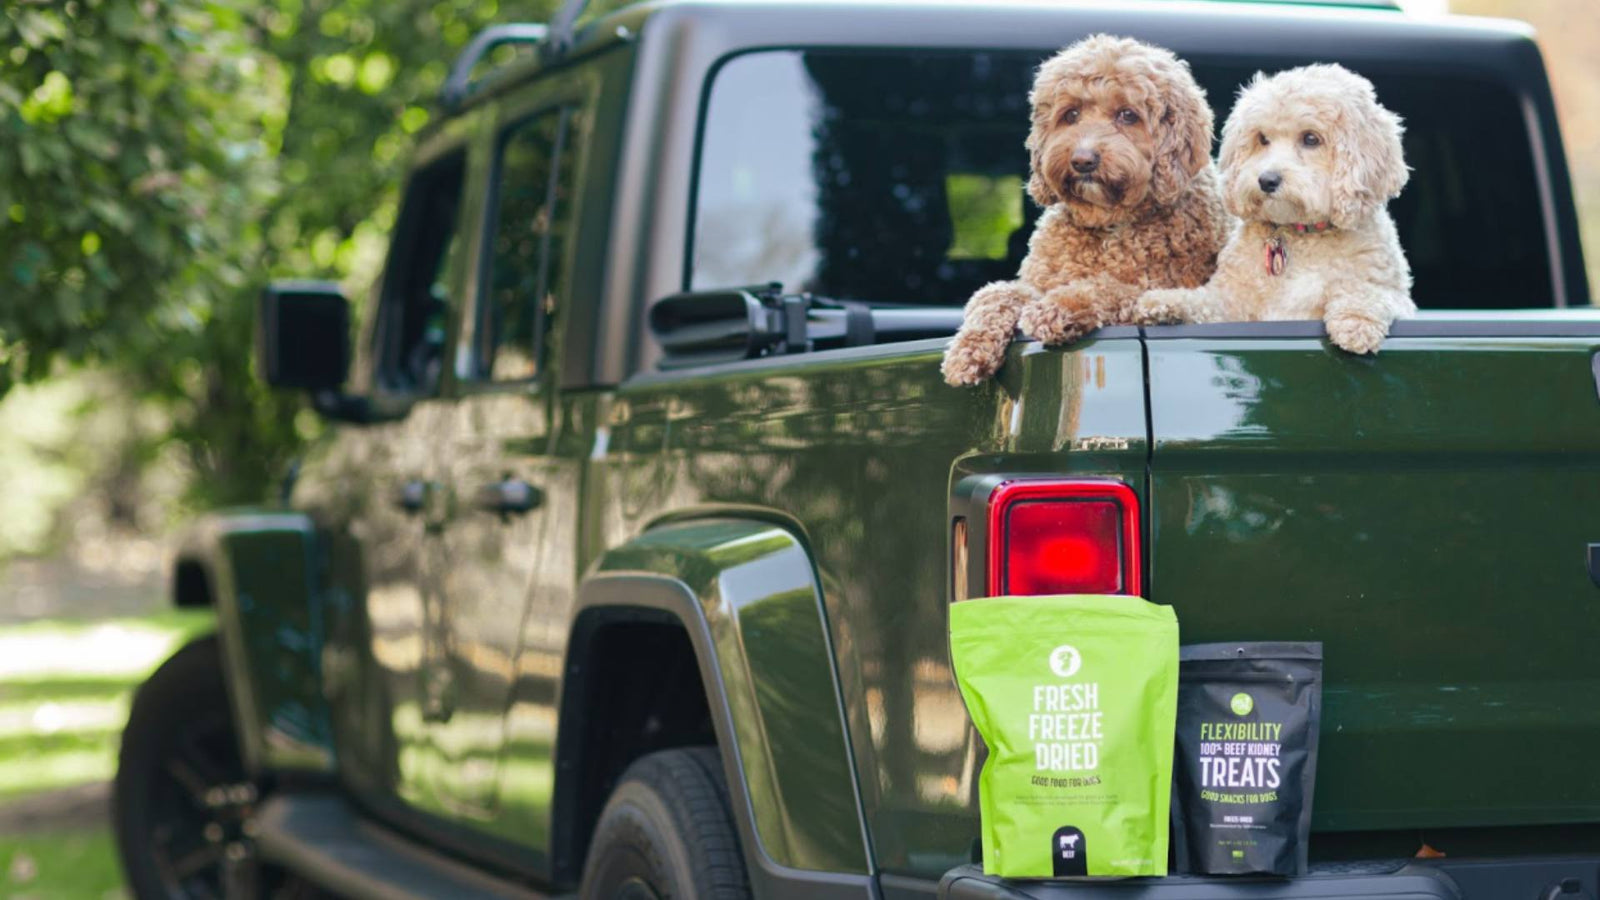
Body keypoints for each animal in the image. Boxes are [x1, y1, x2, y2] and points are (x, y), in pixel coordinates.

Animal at [940, 35, 1228, 384]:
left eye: (1127, 115)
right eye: (1071, 114)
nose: (1082, 160)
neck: (1105, 224)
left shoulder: (1155, 289)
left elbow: (1105, 288)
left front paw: (1057, 307)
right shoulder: (1034, 284)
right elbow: (994, 295)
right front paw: (967, 350)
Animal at [1139, 62, 1414, 350]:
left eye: (1311, 138)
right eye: (1262, 138)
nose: (1267, 180)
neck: (1300, 234)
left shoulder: (1392, 294)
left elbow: (1370, 293)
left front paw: (1356, 321)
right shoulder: (1231, 300)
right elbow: (1205, 301)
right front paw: (1164, 301)